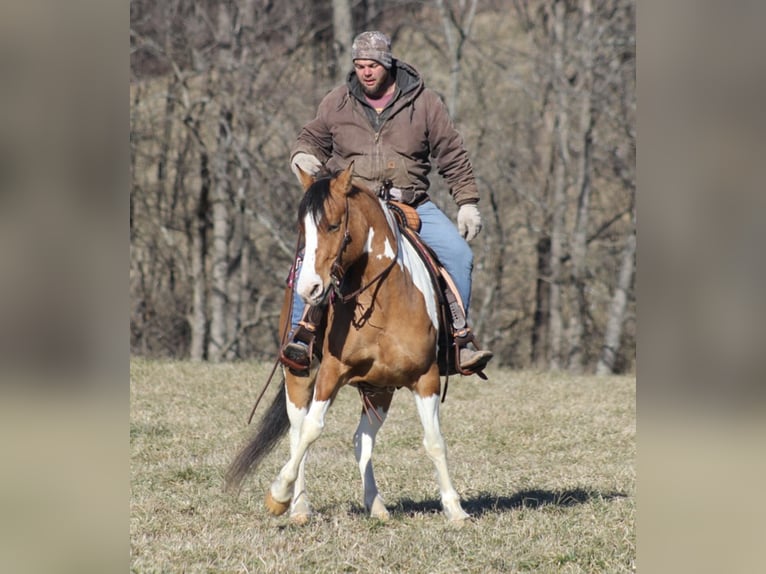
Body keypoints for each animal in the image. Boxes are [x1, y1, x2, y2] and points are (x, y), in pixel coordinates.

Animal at [225, 163, 472, 528]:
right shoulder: (330, 372)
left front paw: (454, 509)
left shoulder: (425, 377)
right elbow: (311, 430)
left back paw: (376, 504)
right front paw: (278, 496)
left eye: (333, 224)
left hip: (380, 389)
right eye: (302, 228)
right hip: (299, 377)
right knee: (298, 431)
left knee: (362, 439)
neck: (383, 303)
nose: (309, 288)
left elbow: (434, 442)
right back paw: (299, 506)